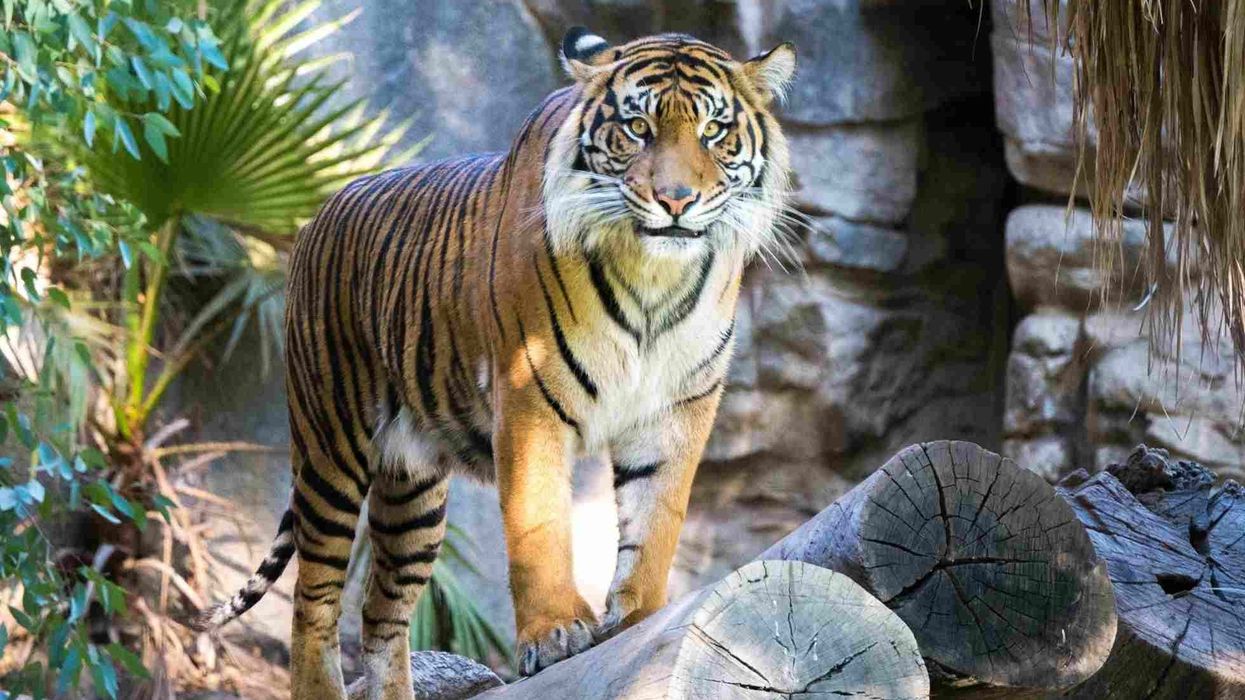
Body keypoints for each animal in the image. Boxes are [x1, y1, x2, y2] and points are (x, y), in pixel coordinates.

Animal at [199, 26, 796, 699]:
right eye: (638, 128)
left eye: (714, 130)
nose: (676, 200)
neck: (654, 276)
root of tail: (313, 218)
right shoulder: (531, 394)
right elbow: (539, 524)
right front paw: (556, 632)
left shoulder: (678, 408)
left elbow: (656, 521)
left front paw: (639, 620)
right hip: (331, 446)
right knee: (315, 598)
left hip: (412, 492)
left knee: (381, 613)